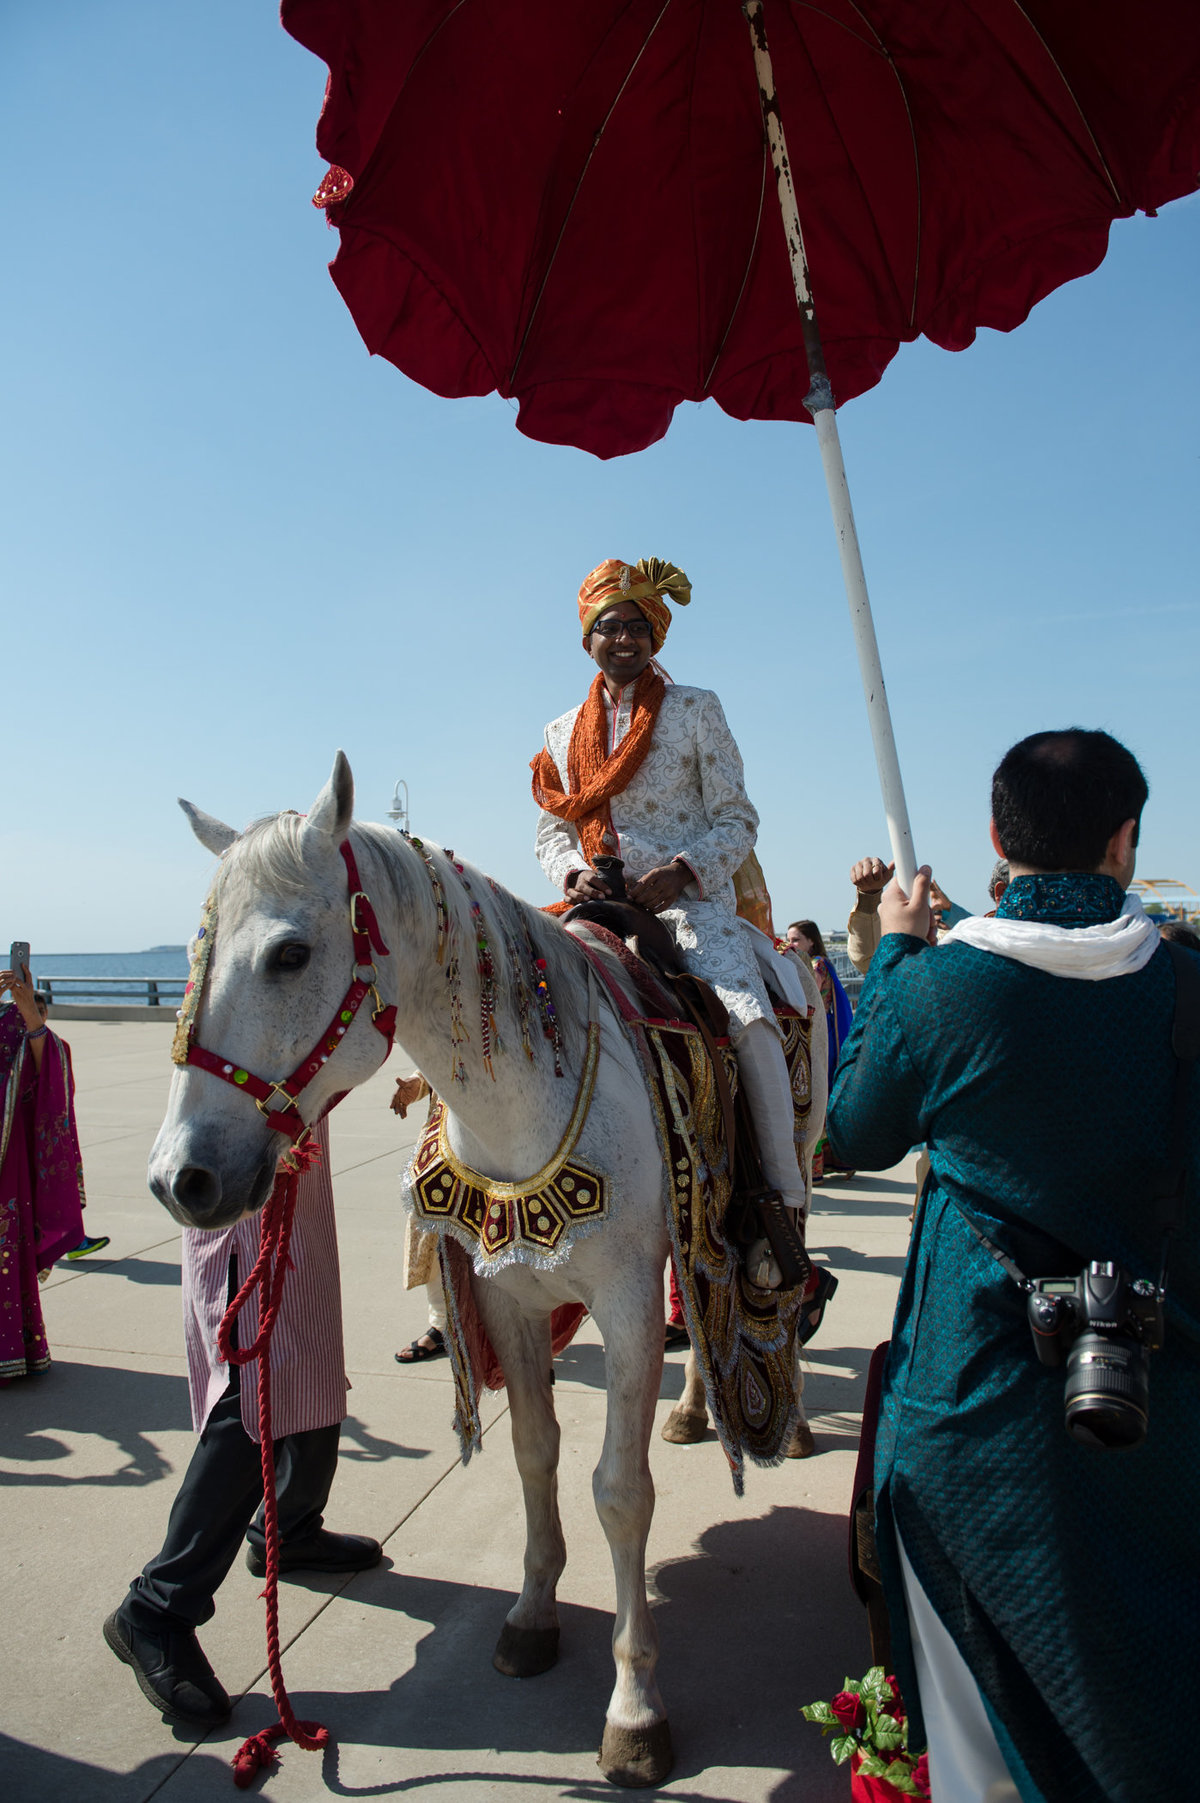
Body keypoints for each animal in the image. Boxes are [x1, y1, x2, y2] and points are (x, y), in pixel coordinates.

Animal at [146, 750, 821, 1788]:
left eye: (290, 954)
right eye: (194, 956)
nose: (181, 1177)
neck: (523, 1100)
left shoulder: (627, 1306)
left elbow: (619, 1492)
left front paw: (634, 1709)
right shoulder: (507, 1299)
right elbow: (535, 1454)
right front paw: (532, 1617)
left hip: (791, 1162)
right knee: (701, 1317)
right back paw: (693, 1409)